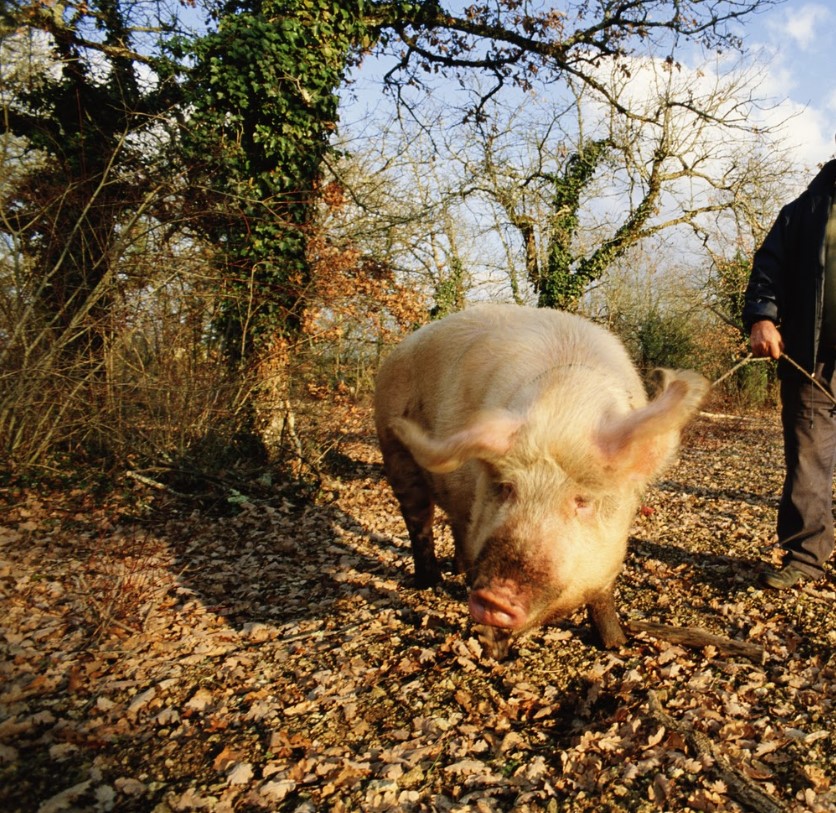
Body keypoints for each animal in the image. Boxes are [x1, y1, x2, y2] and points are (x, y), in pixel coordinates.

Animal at [372, 304, 704, 660]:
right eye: (506, 488)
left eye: (582, 502)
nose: (494, 597)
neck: (565, 409)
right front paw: (496, 655)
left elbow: (602, 596)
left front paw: (617, 645)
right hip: (394, 452)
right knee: (419, 522)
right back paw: (429, 582)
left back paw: (457, 572)